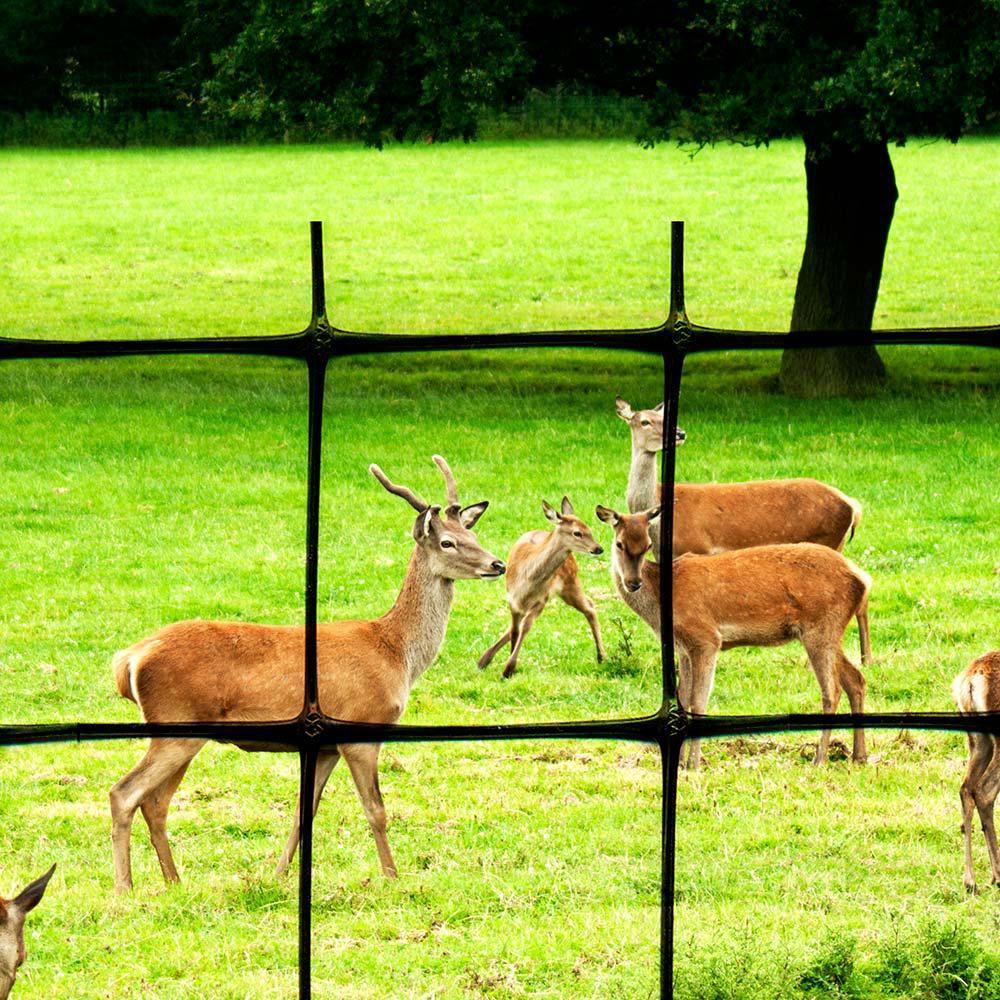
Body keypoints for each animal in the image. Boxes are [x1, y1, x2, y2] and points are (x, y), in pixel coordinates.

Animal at [108, 456, 505, 894]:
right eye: (447, 542)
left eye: (471, 532)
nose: (497, 564)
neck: (396, 652)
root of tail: (130, 658)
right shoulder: (361, 726)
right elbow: (376, 809)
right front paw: (392, 877)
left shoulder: (325, 746)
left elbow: (305, 812)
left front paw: (278, 876)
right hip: (176, 722)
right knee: (124, 793)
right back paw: (125, 889)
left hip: (181, 732)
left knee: (155, 802)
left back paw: (174, 882)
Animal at [477, 497, 605, 679]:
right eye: (577, 533)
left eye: (590, 529)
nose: (598, 548)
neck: (526, 582)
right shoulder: (512, 601)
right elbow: (515, 630)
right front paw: (507, 667)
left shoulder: (541, 600)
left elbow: (525, 627)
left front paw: (509, 668)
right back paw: (483, 660)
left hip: (570, 583)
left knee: (590, 606)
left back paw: (601, 656)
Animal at [595, 504, 871, 770]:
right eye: (619, 543)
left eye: (648, 545)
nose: (633, 582)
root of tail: (862, 579)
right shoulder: (682, 646)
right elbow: (683, 700)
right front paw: (681, 762)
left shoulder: (705, 637)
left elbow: (698, 702)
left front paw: (694, 764)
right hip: (828, 632)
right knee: (855, 679)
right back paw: (859, 756)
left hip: (820, 628)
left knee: (832, 690)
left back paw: (819, 759)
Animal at [614, 395, 864, 562]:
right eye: (645, 421)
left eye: (663, 417)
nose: (680, 433)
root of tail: (852, 505)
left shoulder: (697, 547)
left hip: (827, 539)